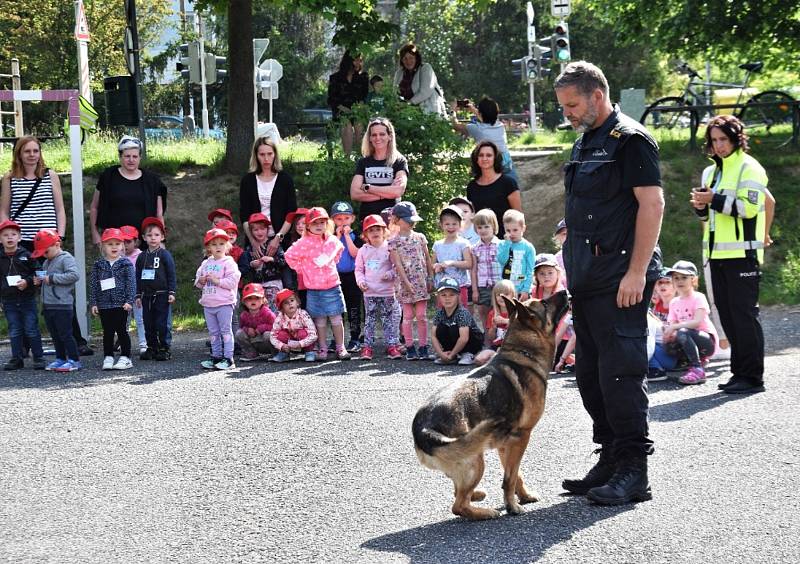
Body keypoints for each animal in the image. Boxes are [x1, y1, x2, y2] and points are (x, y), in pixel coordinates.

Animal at [412, 290, 568, 520]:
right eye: (545, 303)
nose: (565, 291)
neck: (522, 352)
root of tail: (423, 429)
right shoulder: (521, 437)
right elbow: (510, 478)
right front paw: (512, 506)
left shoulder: (507, 445)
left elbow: (516, 475)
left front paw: (523, 496)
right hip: (476, 460)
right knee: (458, 505)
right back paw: (485, 512)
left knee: (458, 492)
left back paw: (477, 496)